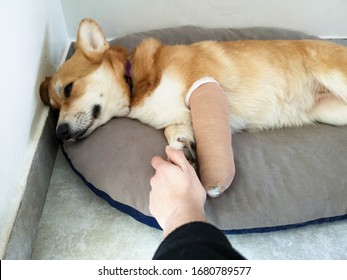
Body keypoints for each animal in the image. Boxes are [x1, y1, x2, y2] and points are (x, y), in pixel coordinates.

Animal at [39, 18, 347, 164]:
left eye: (69, 88)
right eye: (54, 108)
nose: (60, 133)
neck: (135, 81)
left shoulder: (203, 85)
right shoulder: (177, 118)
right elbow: (172, 132)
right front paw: (181, 147)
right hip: (331, 112)